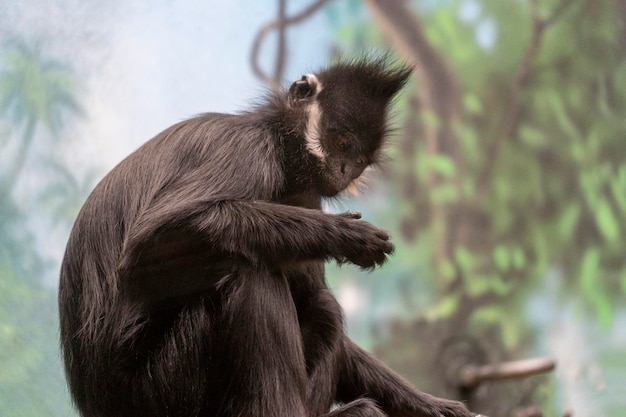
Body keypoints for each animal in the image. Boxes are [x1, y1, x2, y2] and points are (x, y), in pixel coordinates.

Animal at [59, 57, 472, 416]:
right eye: (341, 142)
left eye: (359, 161)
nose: (343, 170)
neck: (280, 140)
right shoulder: (251, 147)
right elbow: (155, 237)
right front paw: (345, 234)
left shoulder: (306, 195)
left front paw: (432, 406)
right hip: (162, 384)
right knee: (248, 272)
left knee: (319, 304)